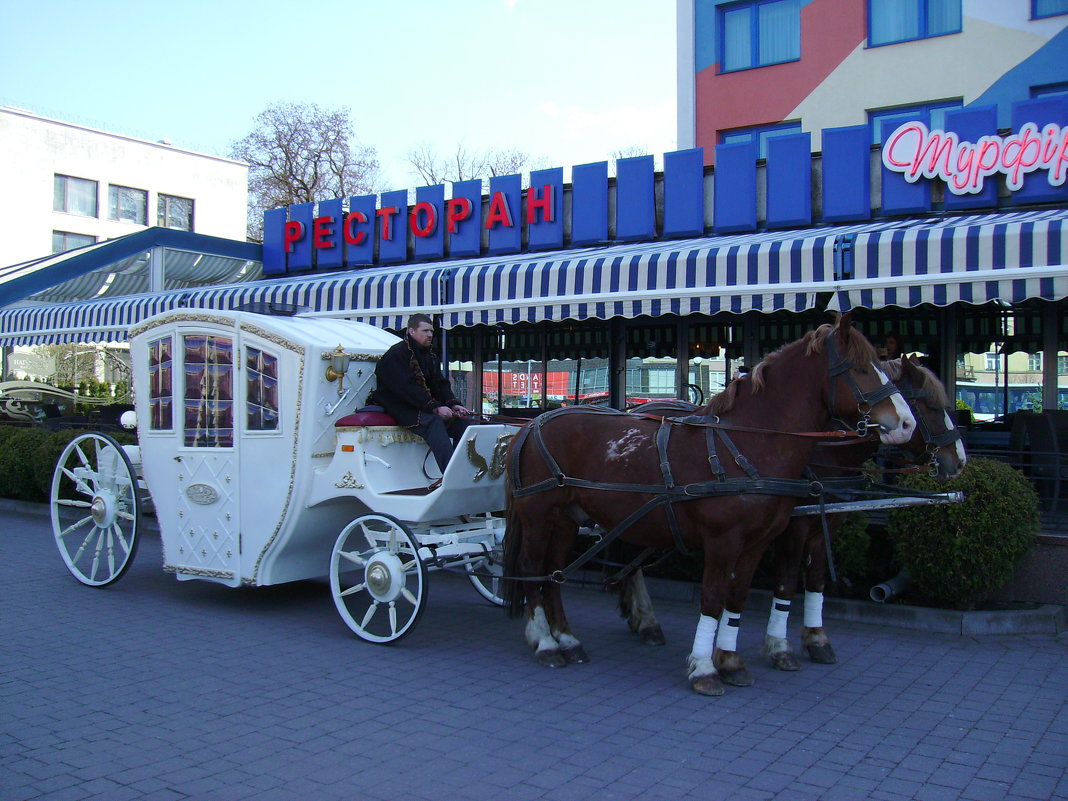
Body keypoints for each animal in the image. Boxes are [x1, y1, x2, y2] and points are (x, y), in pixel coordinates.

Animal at [504, 313, 914, 696]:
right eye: (860, 367)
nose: (906, 424)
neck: (746, 443)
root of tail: (533, 424)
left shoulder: (756, 543)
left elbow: (736, 598)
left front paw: (730, 661)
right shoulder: (722, 541)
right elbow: (713, 599)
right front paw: (704, 668)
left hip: (567, 518)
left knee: (553, 572)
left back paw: (567, 639)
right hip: (539, 516)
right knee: (531, 567)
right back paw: (545, 642)